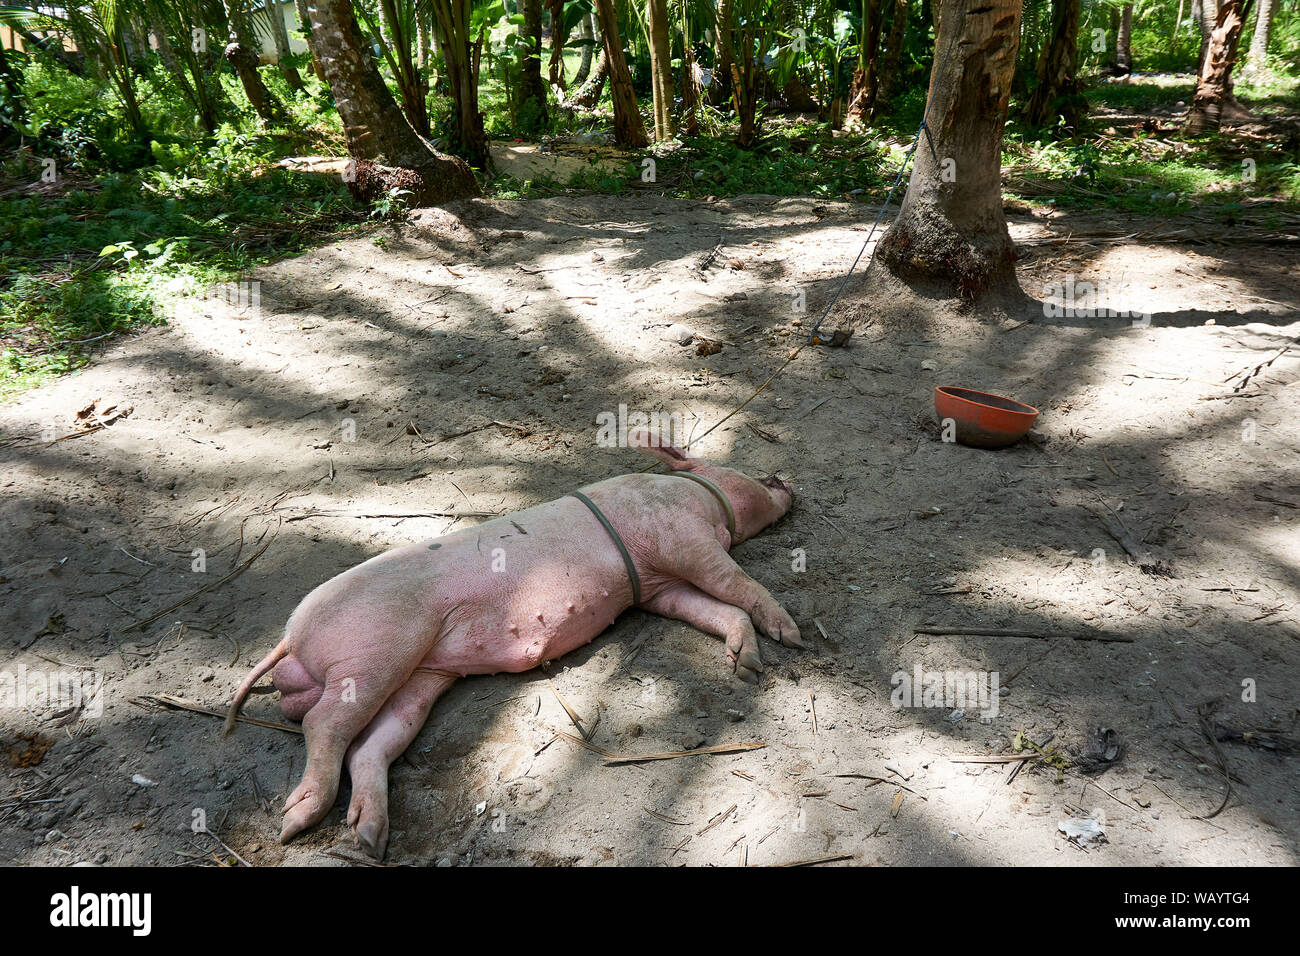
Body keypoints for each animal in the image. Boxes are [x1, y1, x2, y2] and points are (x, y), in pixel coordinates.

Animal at [228, 434, 806, 858]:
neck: (700, 495)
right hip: (377, 650)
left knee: (371, 745)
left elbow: (717, 608)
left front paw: (747, 668)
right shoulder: (679, 536)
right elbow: (736, 583)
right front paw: (792, 636)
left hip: (420, 676)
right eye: (744, 469)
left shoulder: (658, 587)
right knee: (323, 724)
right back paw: (294, 825)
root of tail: (290, 636)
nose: (785, 478)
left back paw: (370, 839)